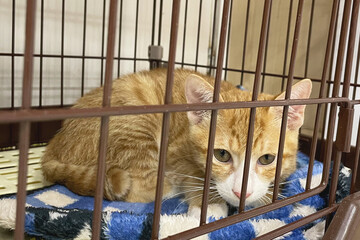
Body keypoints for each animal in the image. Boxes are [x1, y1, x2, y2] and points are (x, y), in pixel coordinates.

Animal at [41, 68, 312, 217]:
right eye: (222, 155)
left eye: (267, 159)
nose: (240, 192)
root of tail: (55, 141)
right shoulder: (174, 155)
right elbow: (192, 174)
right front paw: (209, 203)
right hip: (134, 123)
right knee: (141, 189)